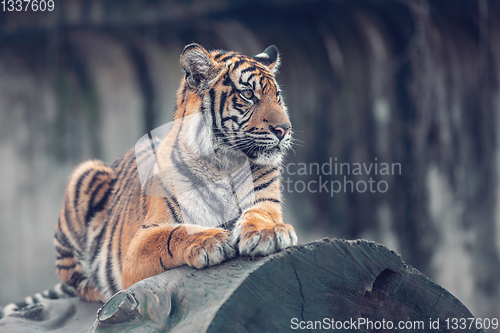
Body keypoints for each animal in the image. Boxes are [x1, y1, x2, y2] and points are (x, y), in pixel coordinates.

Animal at [0, 44, 296, 316]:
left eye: (278, 97)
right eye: (248, 95)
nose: (284, 130)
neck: (224, 165)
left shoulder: (264, 201)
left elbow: (261, 215)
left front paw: (268, 233)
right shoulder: (139, 245)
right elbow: (175, 234)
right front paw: (210, 239)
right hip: (85, 174)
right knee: (74, 278)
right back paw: (98, 288)